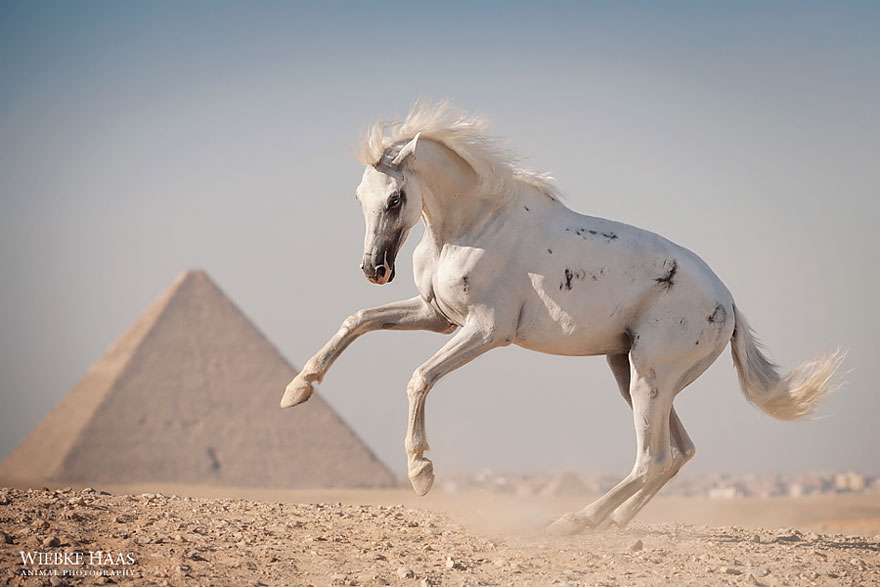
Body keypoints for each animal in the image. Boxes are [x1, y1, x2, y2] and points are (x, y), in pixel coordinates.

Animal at [280, 101, 843, 534]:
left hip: (650, 378)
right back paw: (611, 524)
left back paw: (574, 522)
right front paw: (296, 390)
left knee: (654, 458)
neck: (474, 226)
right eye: (360, 197)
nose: (374, 268)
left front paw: (421, 471)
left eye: (396, 197)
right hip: (630, 372)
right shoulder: (436, 316)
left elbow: (419, 377)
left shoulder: (485, 331)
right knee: (677, 454)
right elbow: (357, 320)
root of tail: (728, 303)